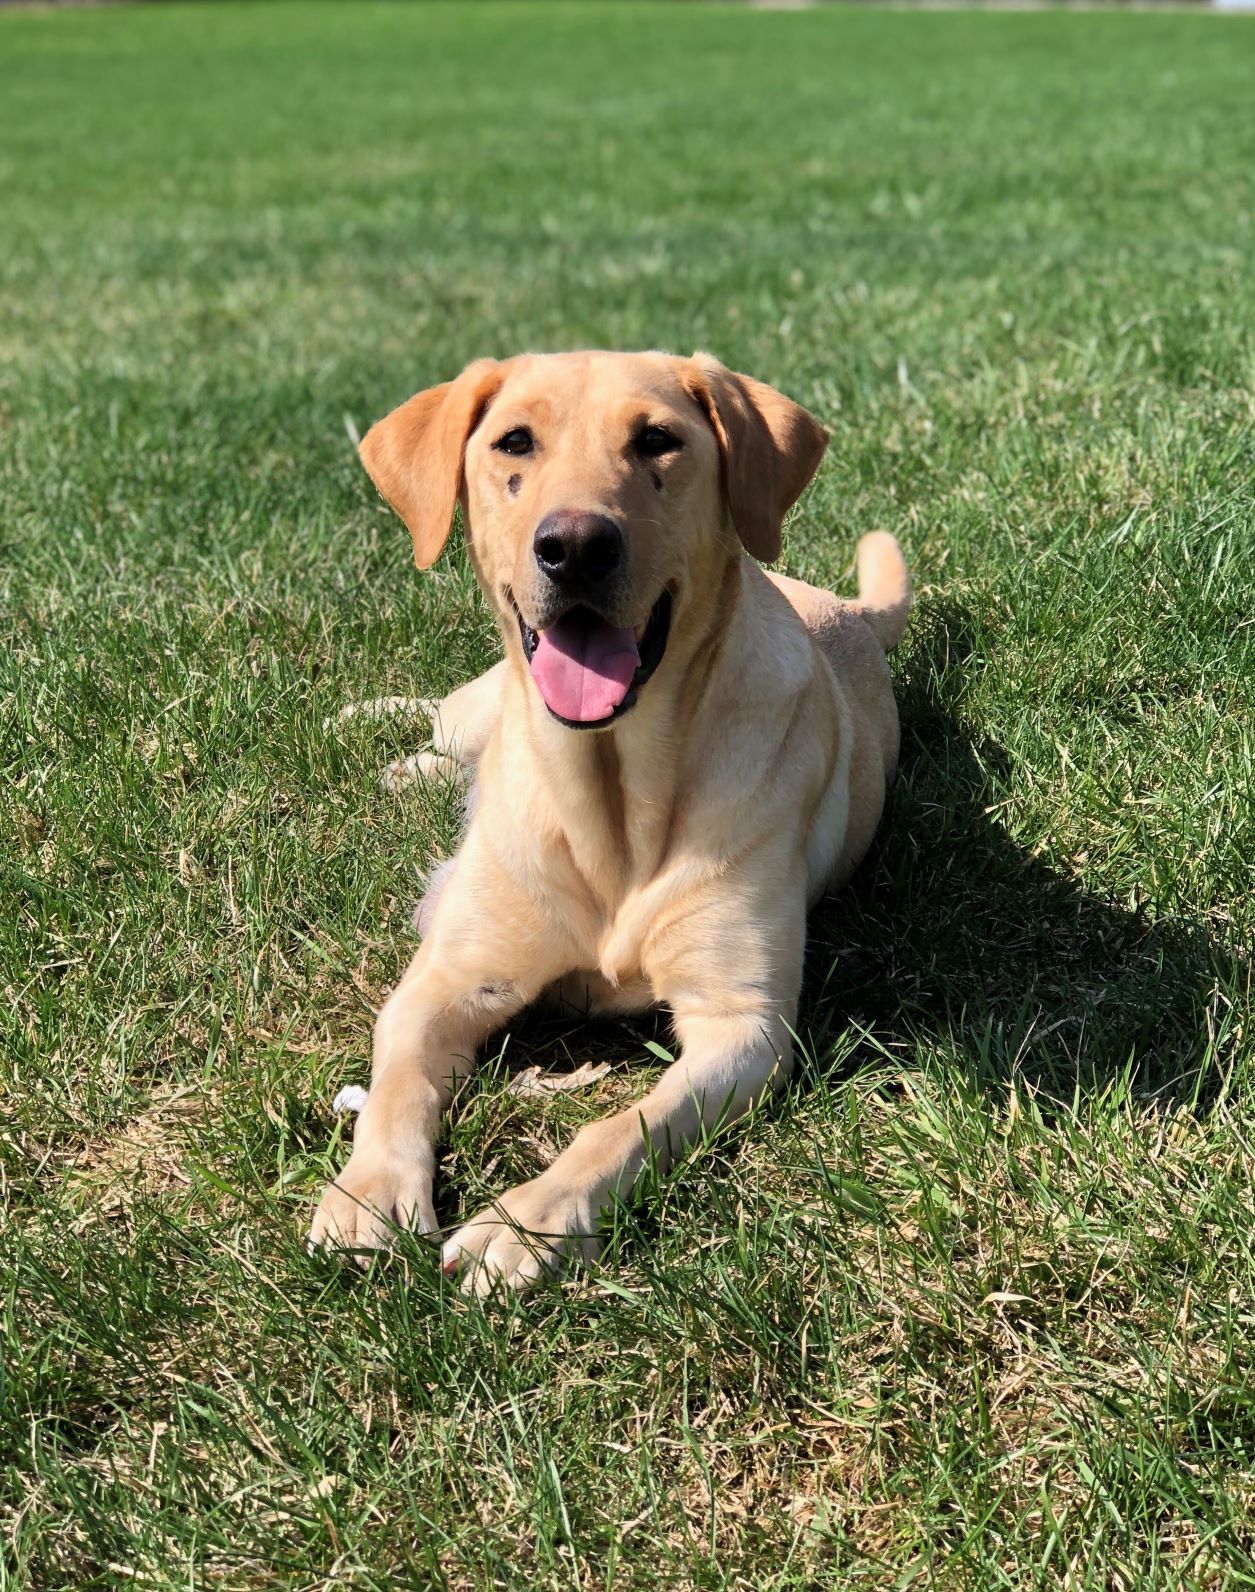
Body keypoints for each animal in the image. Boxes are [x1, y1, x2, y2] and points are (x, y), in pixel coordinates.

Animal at [307, 351, 904, 1292]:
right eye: (514, 442)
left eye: (656, 440)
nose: (577, 547)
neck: (613, 792)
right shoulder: (445, 979)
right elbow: (397, 1086)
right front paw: (367, 1193)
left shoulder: (741, 1025)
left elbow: (621, 1128)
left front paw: (526, 1222)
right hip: (475, 708)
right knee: (444, 716)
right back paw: (383, 739)